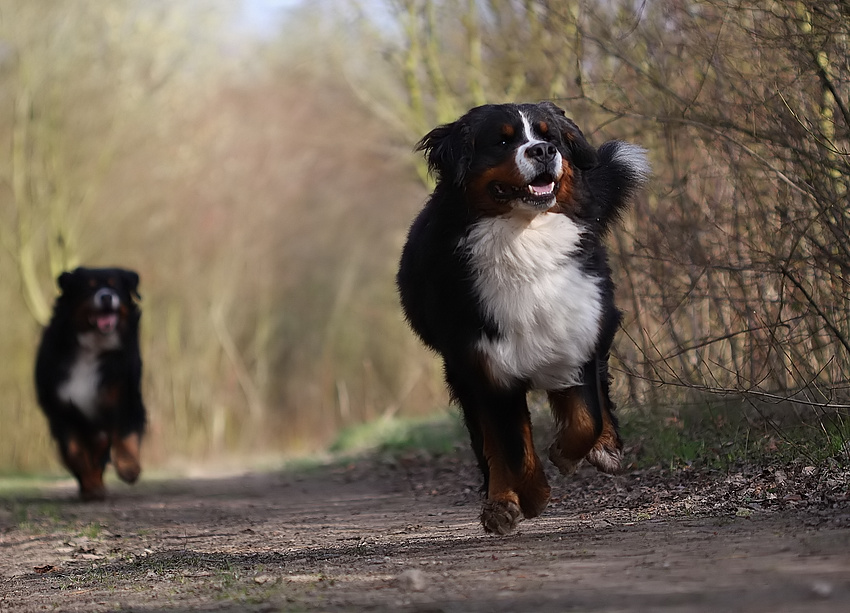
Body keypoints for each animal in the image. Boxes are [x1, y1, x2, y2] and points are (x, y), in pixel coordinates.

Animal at [35, 266, 146, 500]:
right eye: (89, 287)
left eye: (115, 286)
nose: (106, 296)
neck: (92, 348)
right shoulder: (61, 409)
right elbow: (74, 452)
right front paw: (90, 485)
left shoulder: (125, 395)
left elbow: (126, 434)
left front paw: (129, 467)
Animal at [398, 100, 648, 532]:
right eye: (502, 140)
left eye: (550, 137)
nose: (543, 151)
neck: (525, 242)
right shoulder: (487, 363)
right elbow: (510, 447)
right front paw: (529, 496)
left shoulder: (575, 333)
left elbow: (586, 417)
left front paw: (568, 452)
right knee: (489, 443)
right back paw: (501, 502)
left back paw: (606, 448)